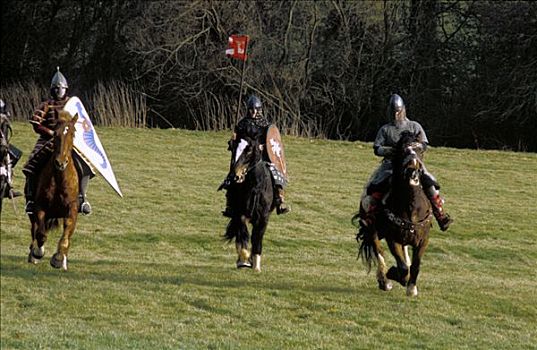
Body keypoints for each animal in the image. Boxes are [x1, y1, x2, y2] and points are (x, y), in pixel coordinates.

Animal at [27, 110, 79, 272]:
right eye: (55, 134)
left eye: (73, 134)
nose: (61, 162)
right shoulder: (40, 207)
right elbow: (41, 234)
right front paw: (38, 252)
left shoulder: (72, 209)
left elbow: (66, 237)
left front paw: (58, 259)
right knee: (34, 230)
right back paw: (32, 256)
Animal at [354, 131, 434, 296]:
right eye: (403, 150)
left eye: (420, 150)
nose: (413, 167)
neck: (411, 207)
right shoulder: (392, 239)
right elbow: (402, 267)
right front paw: (395, 276)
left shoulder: (423, 240)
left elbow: (415, 264)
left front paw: (412, 287)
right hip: (372, 230)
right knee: (379, 252)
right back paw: (384, 281)